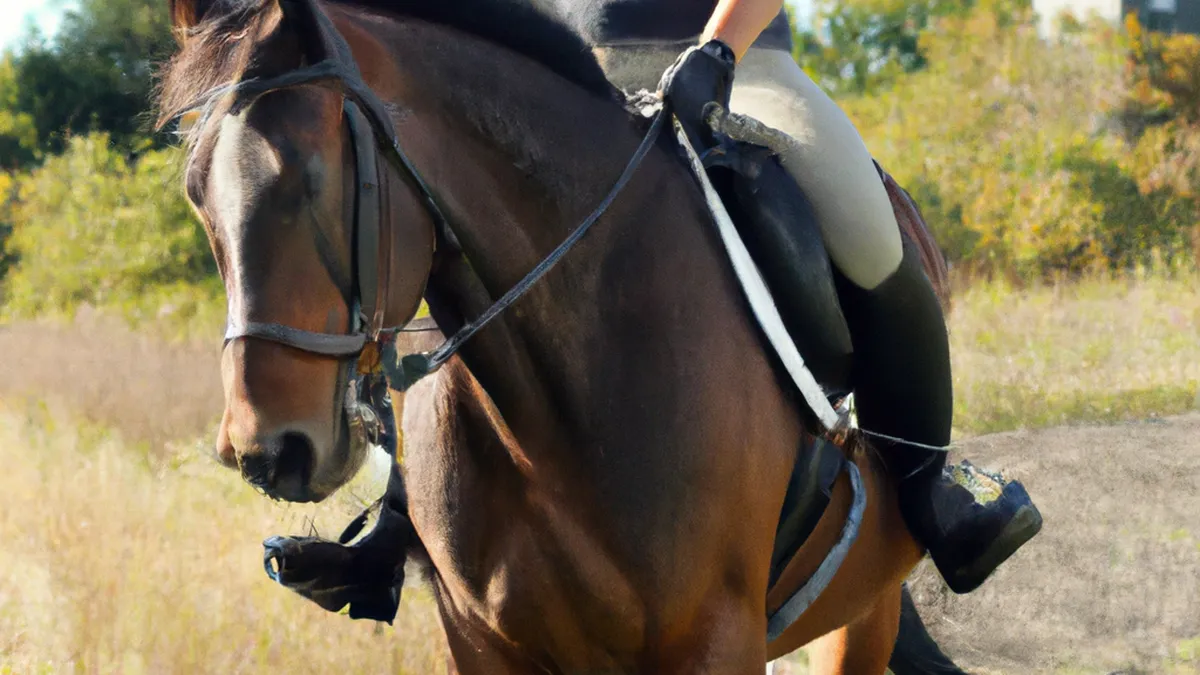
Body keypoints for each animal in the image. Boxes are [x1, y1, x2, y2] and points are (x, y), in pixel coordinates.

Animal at [158, 0, 950, 671]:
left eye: (311, 176)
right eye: (197, 196)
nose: (268, 452)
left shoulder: (717, 637)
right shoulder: (481, 643)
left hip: (866, 605)